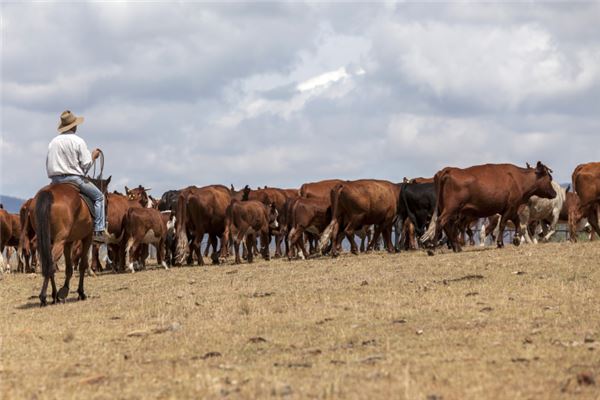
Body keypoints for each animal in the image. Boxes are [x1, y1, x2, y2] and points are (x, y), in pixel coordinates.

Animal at [422, 161, 556, 252]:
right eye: (549, 178)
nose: (554, 193)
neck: (518, 179)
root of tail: (448, 170)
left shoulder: (511, 208)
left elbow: (517, 222)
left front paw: (516, 239)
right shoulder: (510, 207)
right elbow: (503, 225)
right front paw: (500, 243)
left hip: (447, 209)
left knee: (447, 226)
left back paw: (457, 247)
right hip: (451, 208)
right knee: (442, 222)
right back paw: (433, 248)